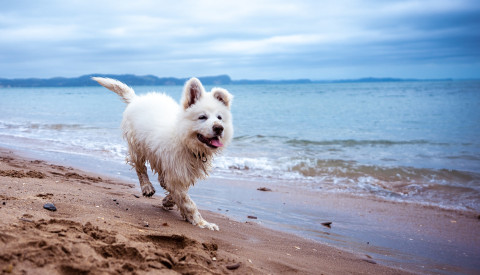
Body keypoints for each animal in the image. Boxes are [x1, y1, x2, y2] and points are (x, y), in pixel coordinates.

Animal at [93, 77, 233, 231]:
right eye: (202, 117)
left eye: (219, 117)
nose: (219, 128)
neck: (184, 140)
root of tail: (136, 99)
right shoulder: (175, 171)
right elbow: (188, 202)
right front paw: (202, 223)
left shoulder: (181, 171)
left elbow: (177, 192)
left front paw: (168, 201)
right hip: (137, 146)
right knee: (140, 167)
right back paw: (147, 187)